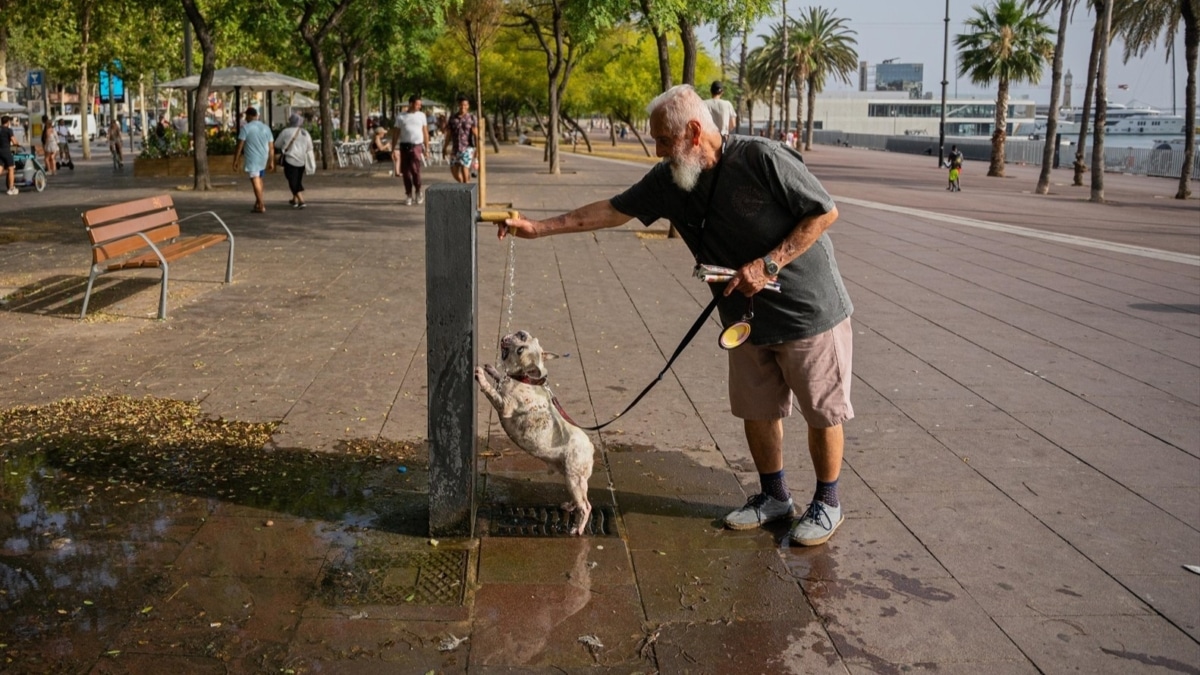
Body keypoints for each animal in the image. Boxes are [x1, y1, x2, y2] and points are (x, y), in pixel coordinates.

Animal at [472, 329, 595, 530]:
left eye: (520, 350)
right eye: (523, 336)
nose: (519, 334)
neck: (526, 379)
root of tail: (590, 448)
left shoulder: (504, 405)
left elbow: (491, 391)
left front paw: (482, 375)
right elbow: (499, 378)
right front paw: (492, 370)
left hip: (575, 478)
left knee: (586, 506)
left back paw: (578, 528)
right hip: (572, 479)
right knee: (580, 499)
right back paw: (570, 506)